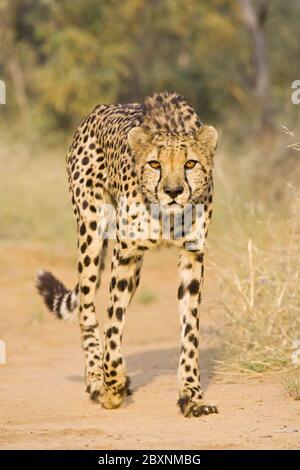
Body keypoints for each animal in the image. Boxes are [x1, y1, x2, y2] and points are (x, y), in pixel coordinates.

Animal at [37, 92, 218, 418]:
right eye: (155, 163)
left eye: (190, 163)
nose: (173, 191)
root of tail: (102, 107)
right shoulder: (125, 255)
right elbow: (113, 324)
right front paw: (112, 387)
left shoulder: (191, 256)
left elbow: (190, 332)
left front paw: (192, 396)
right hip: (92, 232)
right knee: (87, 310)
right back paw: (96, 380)